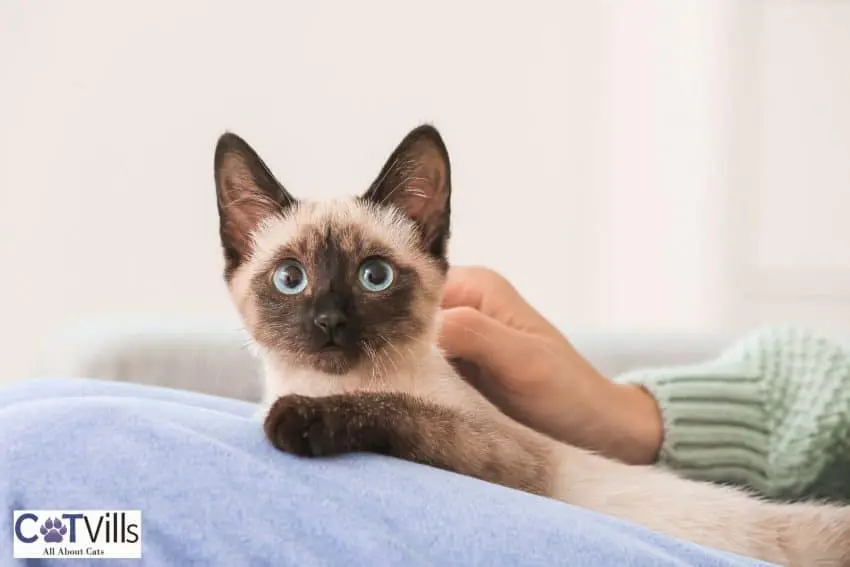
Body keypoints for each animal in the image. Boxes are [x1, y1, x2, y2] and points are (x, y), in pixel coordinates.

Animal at [214, 125, 848, 567]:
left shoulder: (511, 457)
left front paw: (297, 420)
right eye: (291, 278)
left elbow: (401, 411)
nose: (328, 322)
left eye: (374, 277)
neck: (326, 382)